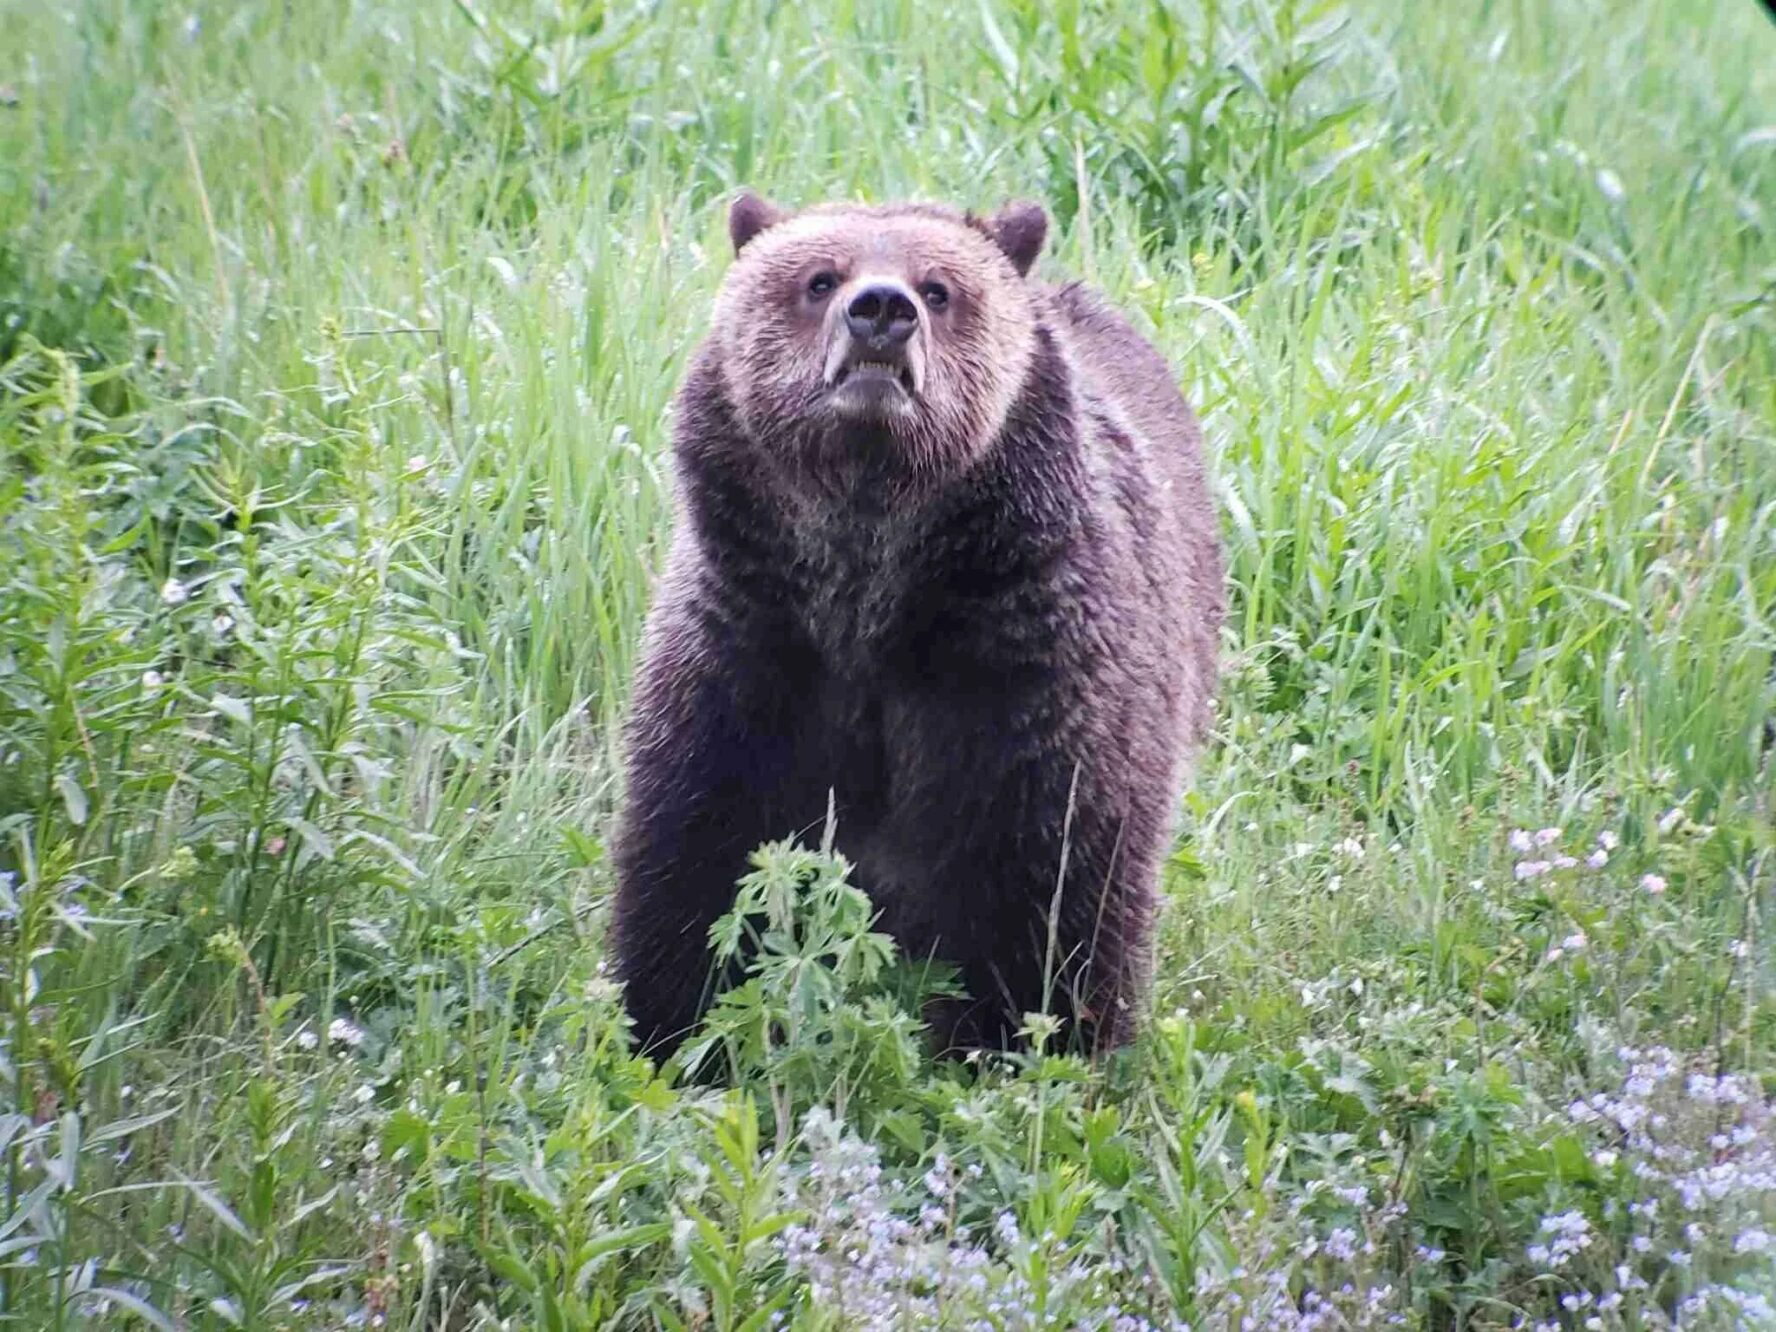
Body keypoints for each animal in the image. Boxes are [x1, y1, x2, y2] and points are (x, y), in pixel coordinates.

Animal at [610, 191, 1224, 1059]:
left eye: (938, 289)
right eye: (819, 278)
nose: (880, 311)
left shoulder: (1024, 663)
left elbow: (1054, 872)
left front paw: (1041, 1036)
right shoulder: (752, 645)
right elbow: (699, 843)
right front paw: (672, 1025)